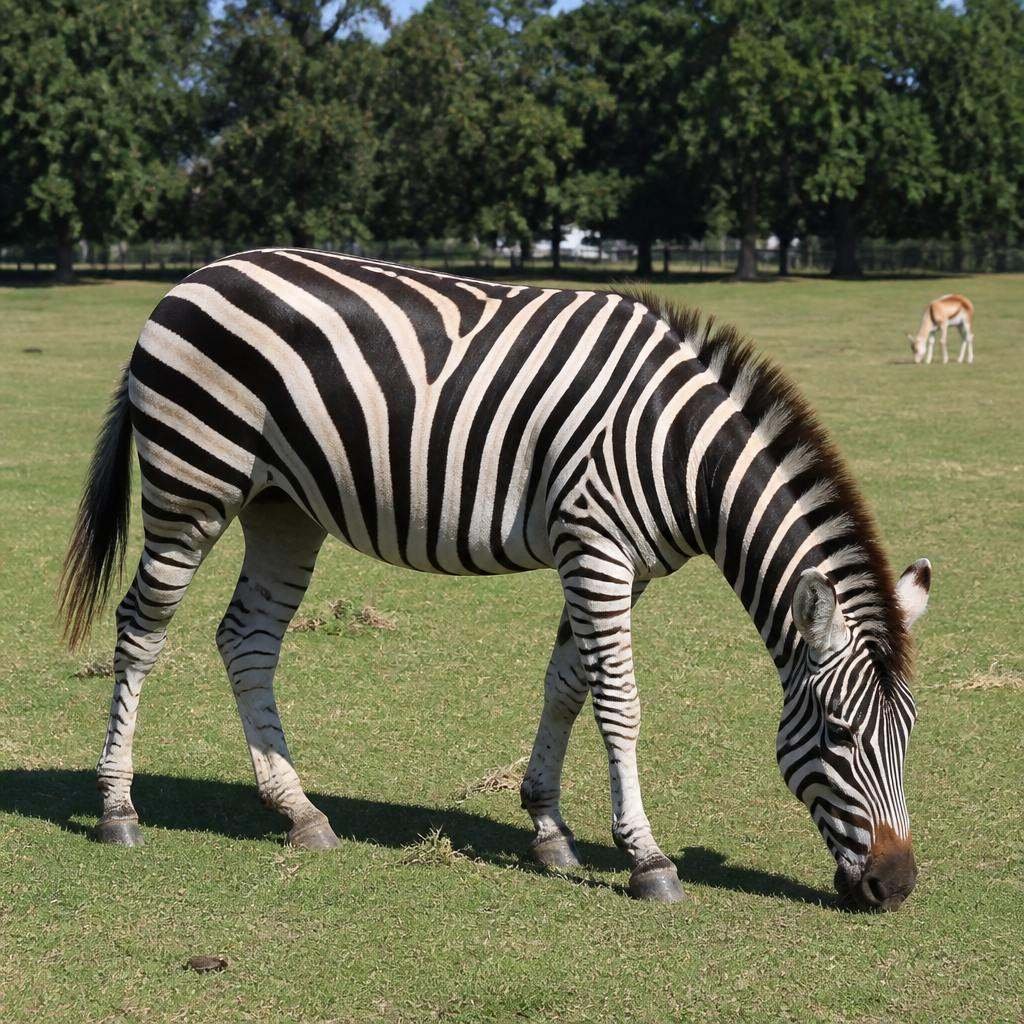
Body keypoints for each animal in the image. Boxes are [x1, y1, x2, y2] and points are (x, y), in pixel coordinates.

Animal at [58, 248, 931, 908]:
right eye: (842, 735)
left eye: (910, 737)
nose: (895, 887)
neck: (683, 452)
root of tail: (196, 275)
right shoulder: (597, 545)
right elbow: (619, 702)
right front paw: (646, 859)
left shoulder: (616, 562)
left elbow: (568, 685)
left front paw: (548, 829)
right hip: (191, 482)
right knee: (141, 628)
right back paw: (117, 808)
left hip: (281, 507)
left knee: (246, 639)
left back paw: (299, 811)